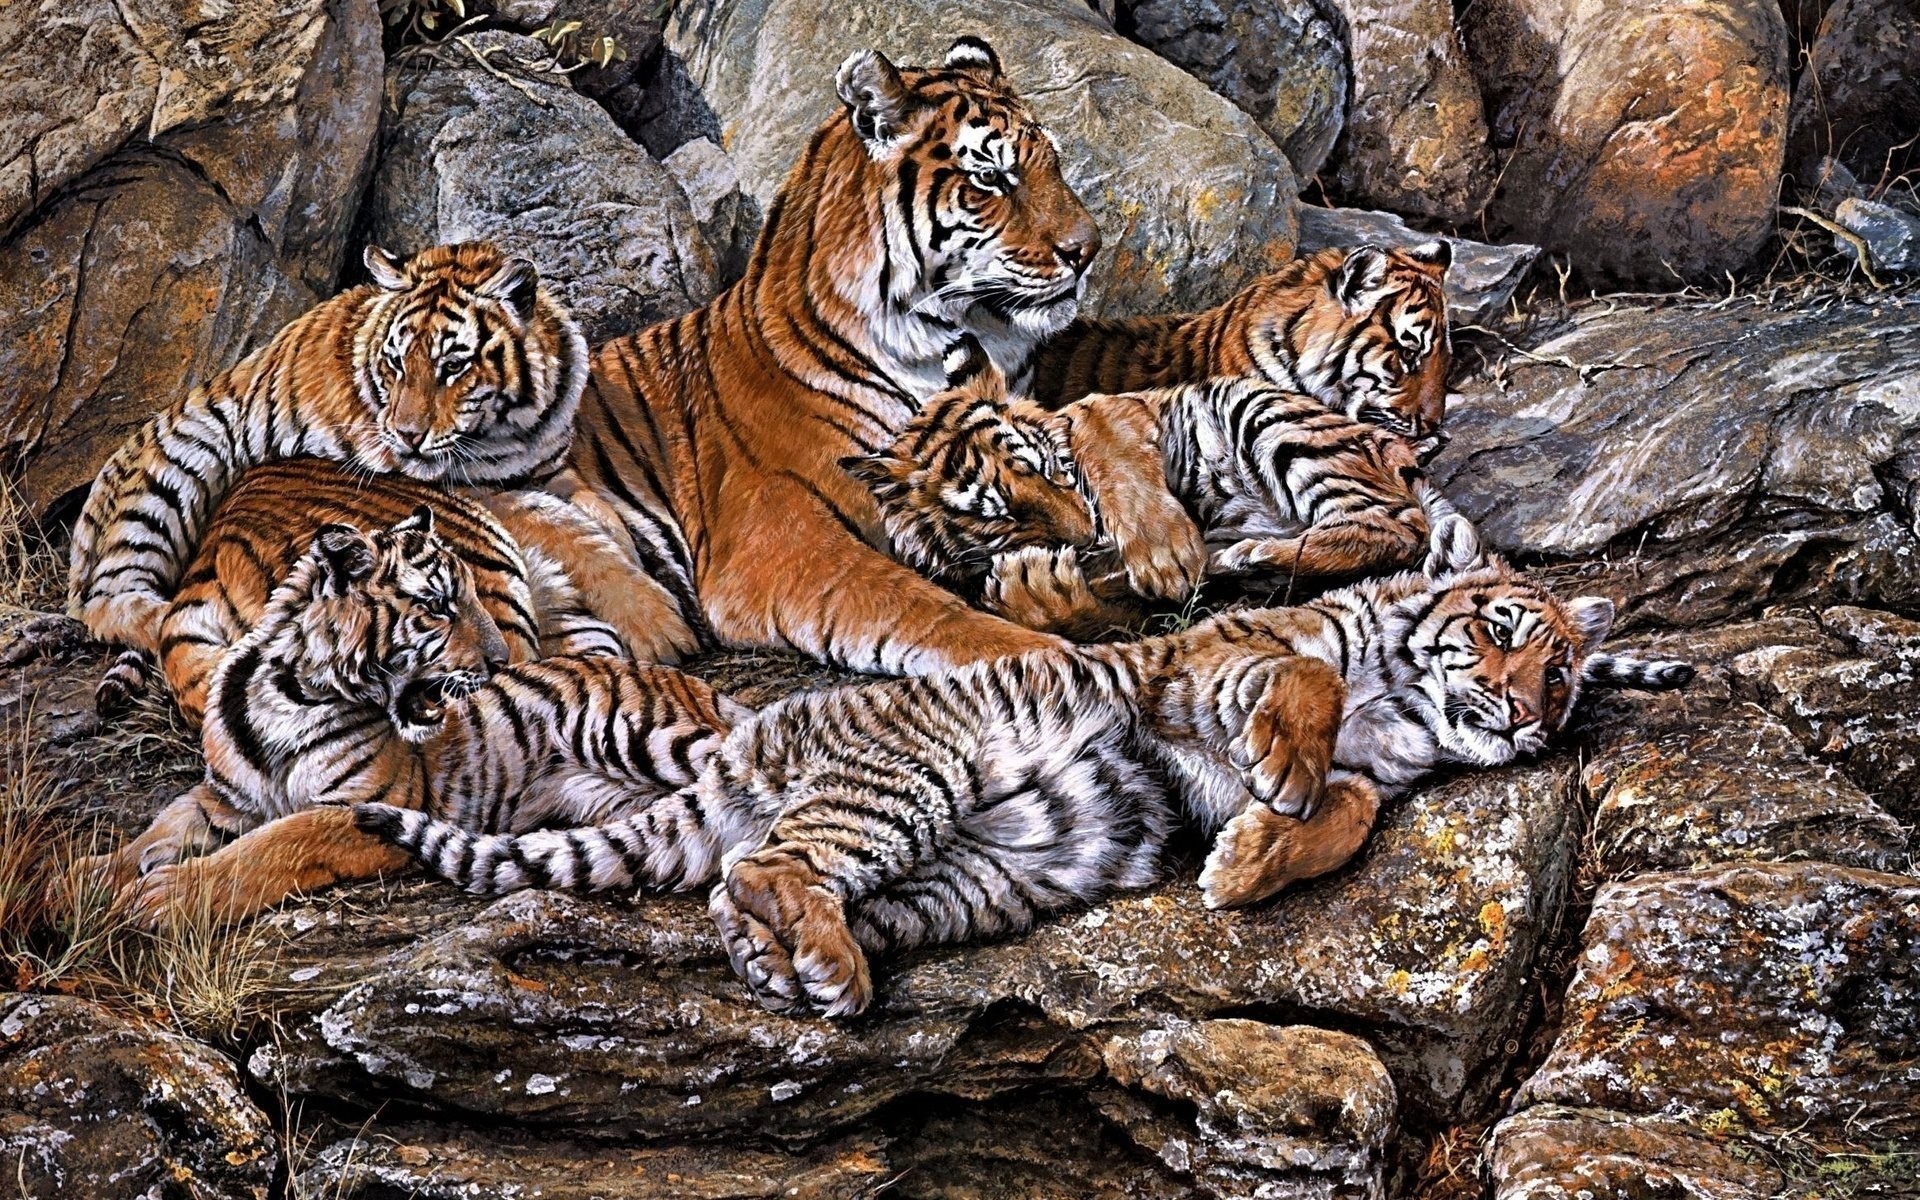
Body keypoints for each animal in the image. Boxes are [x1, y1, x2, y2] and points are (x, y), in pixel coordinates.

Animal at [49, 240, 694, 686]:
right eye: (395, 362)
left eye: (452, 366)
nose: (405, 435)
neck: (513, 427)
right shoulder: (478, 492)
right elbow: (574, 538)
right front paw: (659, 625)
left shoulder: (553, 471)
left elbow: (601, 517)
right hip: (171, 477)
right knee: (112, 605)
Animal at [88, 507, 741, 928]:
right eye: (438, 606)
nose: (502, 659)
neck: (286, 695)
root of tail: (690, 683)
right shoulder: (224, 803)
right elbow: (154, 833)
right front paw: (85, 879)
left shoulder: (361, 807)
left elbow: (271, 847)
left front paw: (170, 895)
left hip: (641, 733)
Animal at [357, 528, 1692, 1018]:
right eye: (1506, 632)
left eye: (1563, 679)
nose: (1524, 718)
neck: (1410, 710)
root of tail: (748, 743)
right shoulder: (1203, 664)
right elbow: (1306, 684)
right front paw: (1282, 790)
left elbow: (1352, 812)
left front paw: (1249, 861)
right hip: (919, 773)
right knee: (778, 863)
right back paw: (823, 969)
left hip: (988, 876)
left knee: (754, 884)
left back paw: (792, 971)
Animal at [559, 37, 1111, 678]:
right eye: (991, 177)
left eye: (1054, 163)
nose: (1089, 249)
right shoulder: (777, 537)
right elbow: (918, 606)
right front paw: (1051, 657)